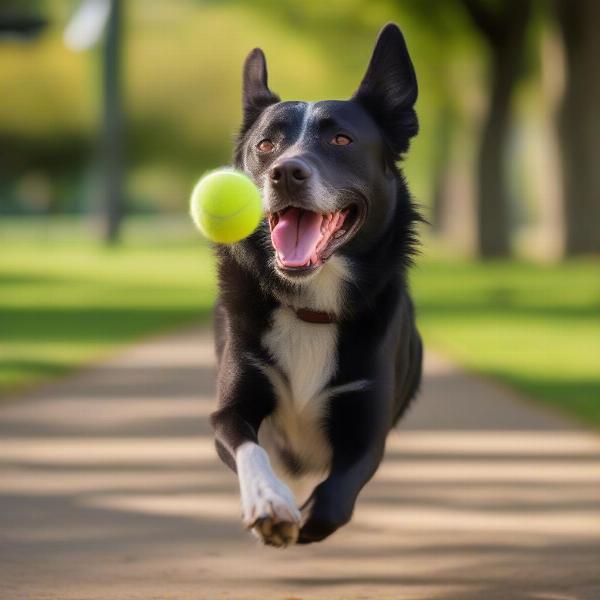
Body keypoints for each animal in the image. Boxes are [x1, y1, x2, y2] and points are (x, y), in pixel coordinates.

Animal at [210, 23, 422, 548]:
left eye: (342, 139)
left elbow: (333, 502)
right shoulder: (231, 409)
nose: (286, 172)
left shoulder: (367, 432)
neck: (311, 306)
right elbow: (249, 447)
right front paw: (269, 502)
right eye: (266, 145)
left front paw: (303, 518)